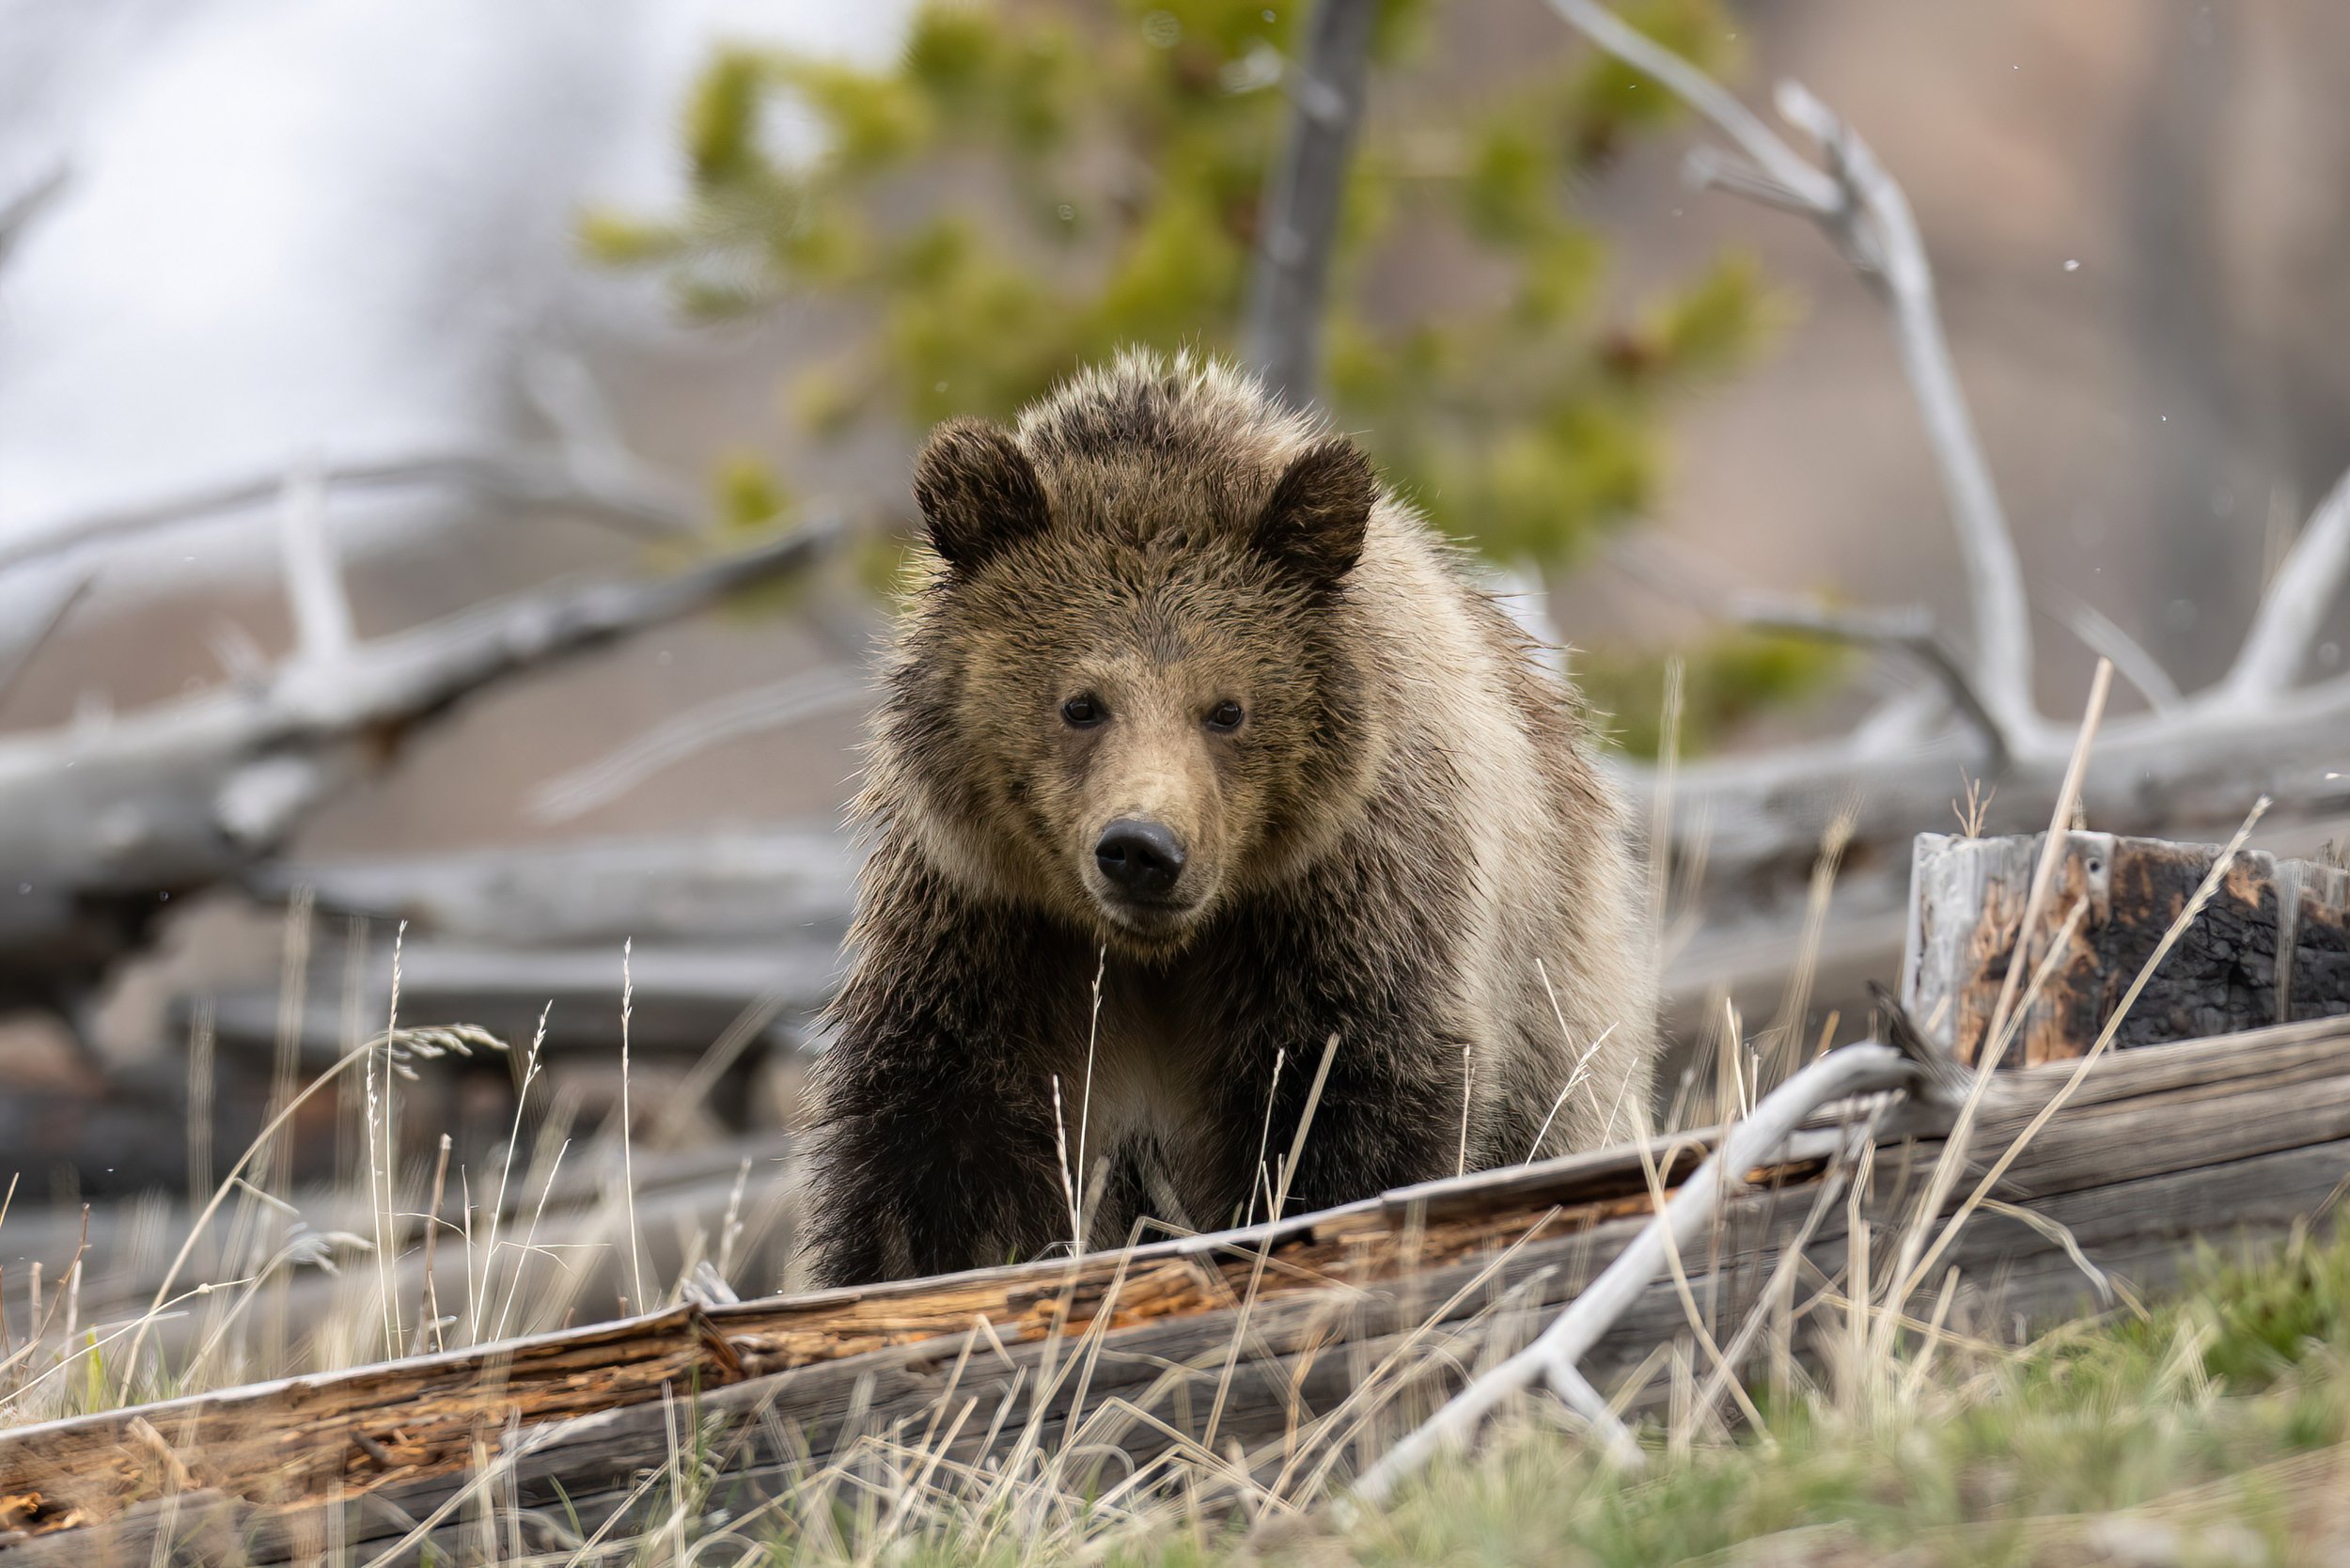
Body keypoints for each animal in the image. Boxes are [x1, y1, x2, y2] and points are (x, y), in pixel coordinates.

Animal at [798, 349, 1659, 1288]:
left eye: (1227, 709)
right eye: (1080, 703)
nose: (1142, 849)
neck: (1158, 956)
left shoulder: (1345, 916)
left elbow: (1347, 1109)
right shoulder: (992, 933)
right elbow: (940, 1151)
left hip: (1560, 991)